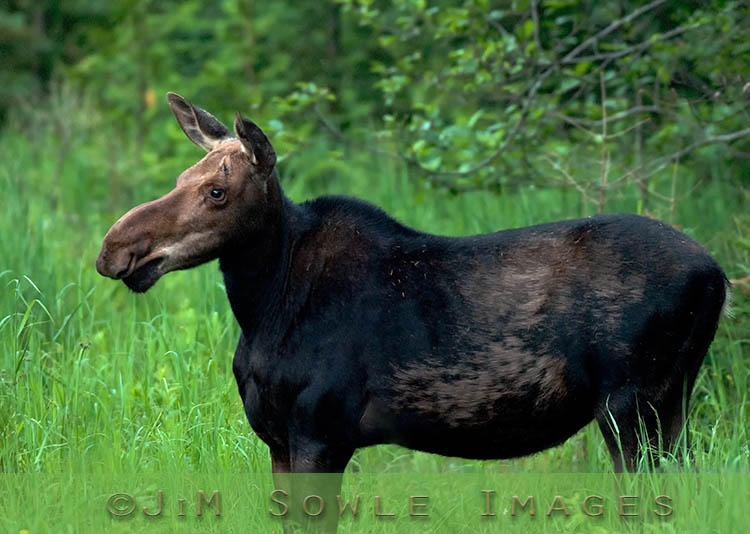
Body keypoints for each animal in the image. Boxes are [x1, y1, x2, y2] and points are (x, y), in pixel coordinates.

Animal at [98, 92, 728, 532]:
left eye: (217, 192)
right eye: (182, 178)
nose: (114, 249)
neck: (264, 305)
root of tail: (717, 276)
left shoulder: (321, 432)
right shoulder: (277, 439)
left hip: (631, 406)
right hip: (670, 403)